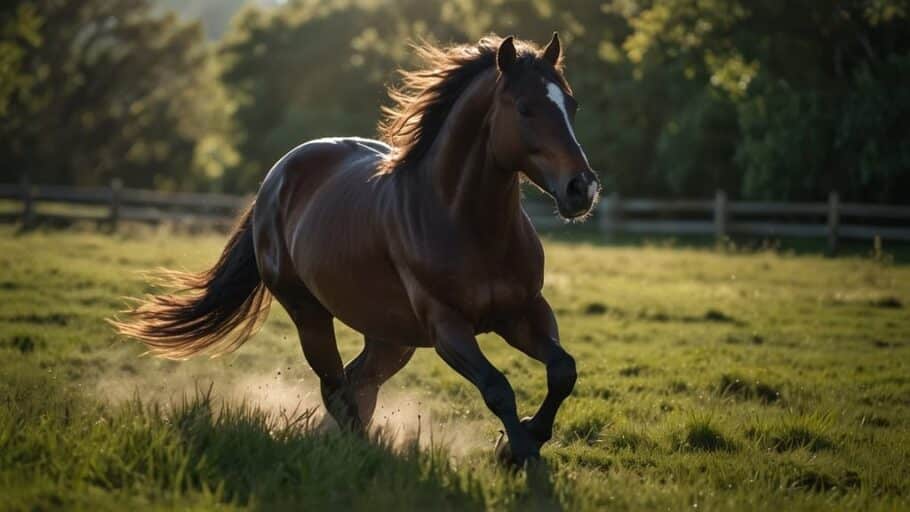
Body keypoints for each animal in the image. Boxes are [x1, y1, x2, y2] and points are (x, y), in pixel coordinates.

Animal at [112, 31, 600, 464]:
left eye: (572, 105)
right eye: (525, 108)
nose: (582, 188)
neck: (468, 226)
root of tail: (276, 178)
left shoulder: (523, 311)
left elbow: (563, 370)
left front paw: (526, 440)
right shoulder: (448, 327)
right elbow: (498, 388)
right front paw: (517, 452)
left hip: (391, 336)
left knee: (357, 381)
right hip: (310, 315)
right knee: (337, 387)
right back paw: (355, 448)